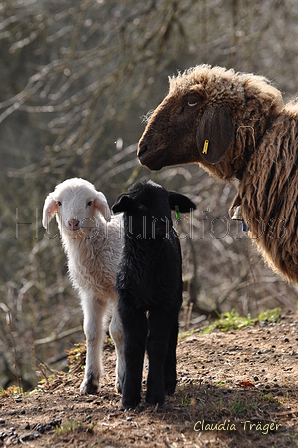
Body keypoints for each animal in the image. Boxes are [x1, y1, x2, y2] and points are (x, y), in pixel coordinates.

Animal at [42, 178, 124, 396]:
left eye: (89, 203)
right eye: (59, 203)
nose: (73, 222)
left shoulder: (120, 291)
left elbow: (117, 332)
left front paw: (122, 380)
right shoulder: (91, 293)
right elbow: (92, 333)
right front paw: (90, 382)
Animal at [112, 180, 196, 408]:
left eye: (167, 202)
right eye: (140, 205)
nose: (164, 224)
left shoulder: (164, 305)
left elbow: (157, 345)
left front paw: (155, 396)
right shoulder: (128, 305)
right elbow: (132, 347)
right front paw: (129, 398)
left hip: (175, 296)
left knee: (172, 337)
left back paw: (169, 383)